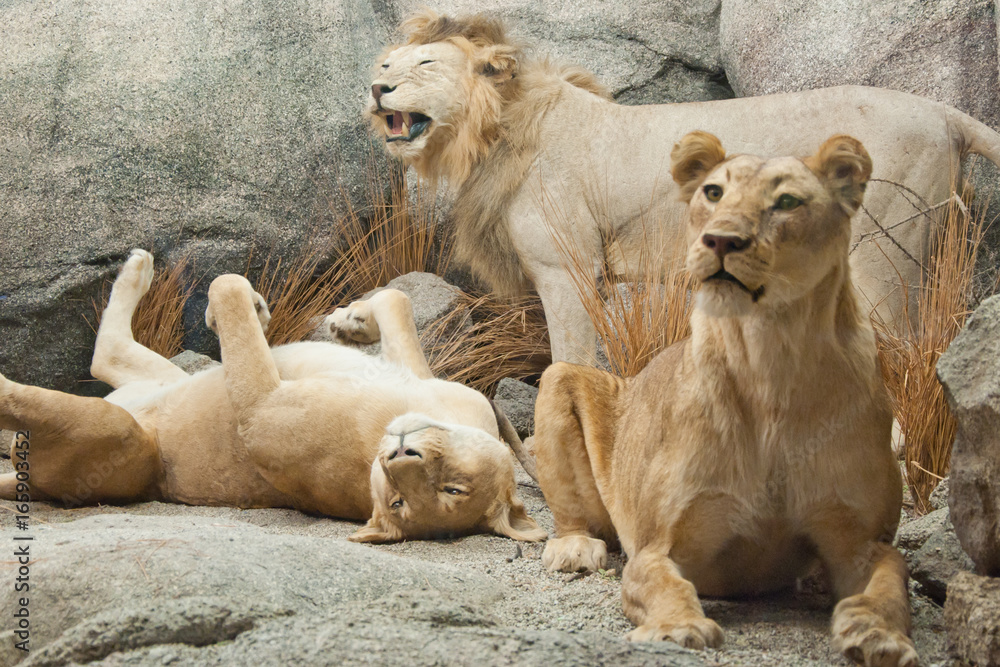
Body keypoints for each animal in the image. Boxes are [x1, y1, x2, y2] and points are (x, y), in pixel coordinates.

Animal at [0, 250, 546, 544]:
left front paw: (246, 309)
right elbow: (399, 300)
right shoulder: (434, 383)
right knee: (104, 353)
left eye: (449, 492)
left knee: (45, 396)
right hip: (157, 377)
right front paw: (349, 322)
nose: (399, 454)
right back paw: (139, 267)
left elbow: (228, 287)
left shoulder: (261, 410)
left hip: (118, 435)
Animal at [369, 10, 1000, 365]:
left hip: (882, 257)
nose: (377, 88)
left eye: (424, 64)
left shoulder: (566, 266)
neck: (494, 132)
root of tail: (945, 113)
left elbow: (568, 358)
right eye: (386, 63)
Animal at [530, 133, 917, 666]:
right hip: (559, 376)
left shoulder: (860, 540)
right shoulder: (659, 546)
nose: (721, 240)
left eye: (787, 202)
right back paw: (573, 549)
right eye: (713, 193)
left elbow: (891, 577)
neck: (768, 361)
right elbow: (664, 585)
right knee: (570, 507)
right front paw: (677, 628)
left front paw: (877, 634)